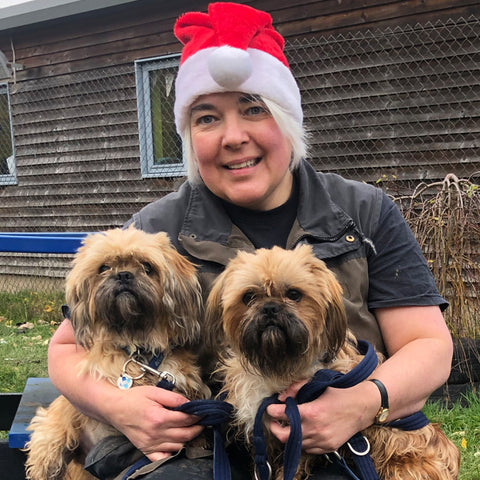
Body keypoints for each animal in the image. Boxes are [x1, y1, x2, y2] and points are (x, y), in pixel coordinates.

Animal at [205, 244, 460, 480]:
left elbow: (291, 468)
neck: (278, 364)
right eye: (248, 297)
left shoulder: (299, 433)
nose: (270, 308)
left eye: (294, 294)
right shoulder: (262, 433)